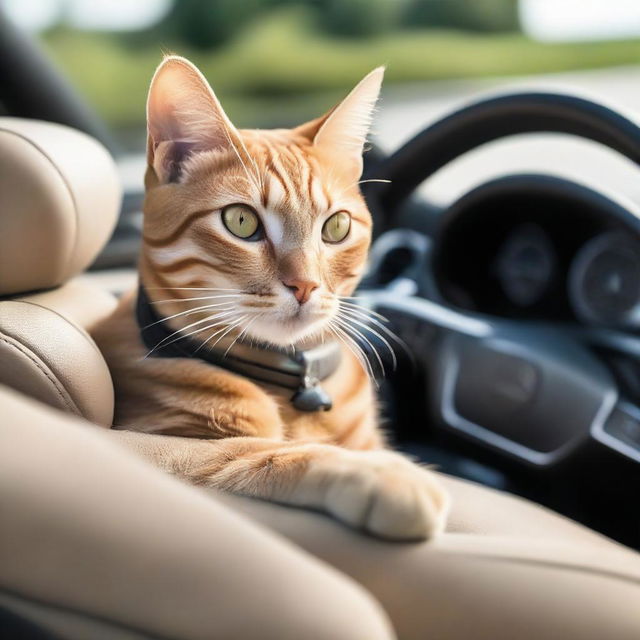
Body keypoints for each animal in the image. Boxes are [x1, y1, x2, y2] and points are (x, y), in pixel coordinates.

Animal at [92, 56, 448, 540]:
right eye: (241, 222)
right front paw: (381, 473)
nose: (305, 286)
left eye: (336, 227)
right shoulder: (144, 443)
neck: (294, 385)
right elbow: (254, 451)